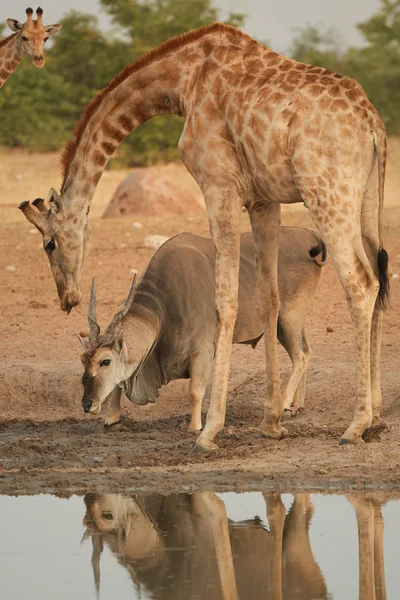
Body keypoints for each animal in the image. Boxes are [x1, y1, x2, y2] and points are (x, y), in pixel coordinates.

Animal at [19, 22, 390, 450]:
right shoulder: (262, 198)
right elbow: (268, 298)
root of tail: (373, 124)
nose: (67, 298)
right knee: (379, 276)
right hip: (367, 201)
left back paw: (356, 425)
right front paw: (271, 421)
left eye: (49, 243)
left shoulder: (219, 186)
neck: (183, 82)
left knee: (361, 284)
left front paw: (210, 429)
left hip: (326, 194)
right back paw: (377, 418)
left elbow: (224, 300)